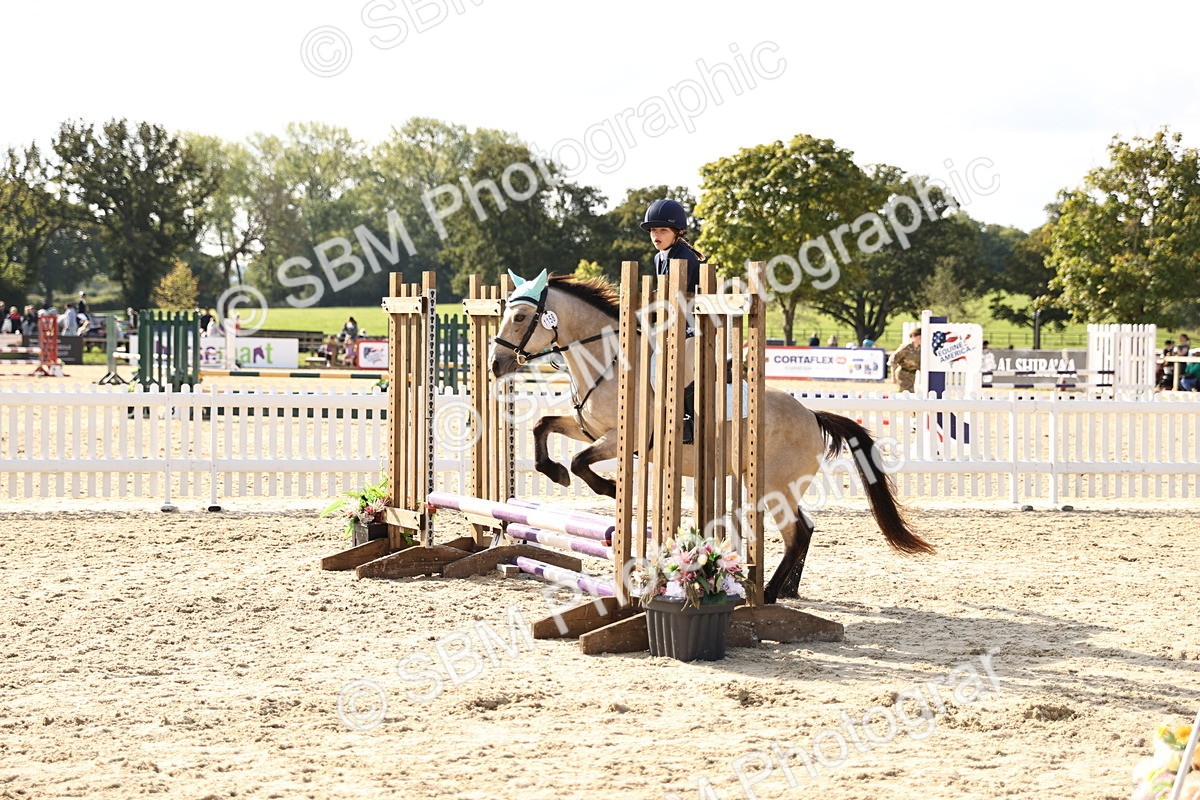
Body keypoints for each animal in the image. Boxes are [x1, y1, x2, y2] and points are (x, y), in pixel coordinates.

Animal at [487, 271, 933, 603]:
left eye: (521, 318)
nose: (496, 364)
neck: (609, 362)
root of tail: (811, 414)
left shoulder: (623, 439)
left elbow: (581, 462)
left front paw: (609, 487)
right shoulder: (587, 429)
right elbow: (543, 426)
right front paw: (554, 472)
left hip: (772, 487)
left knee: (797, 533)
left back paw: (769, 593)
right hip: (776, 486)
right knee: (805, 529)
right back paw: (786, 590)